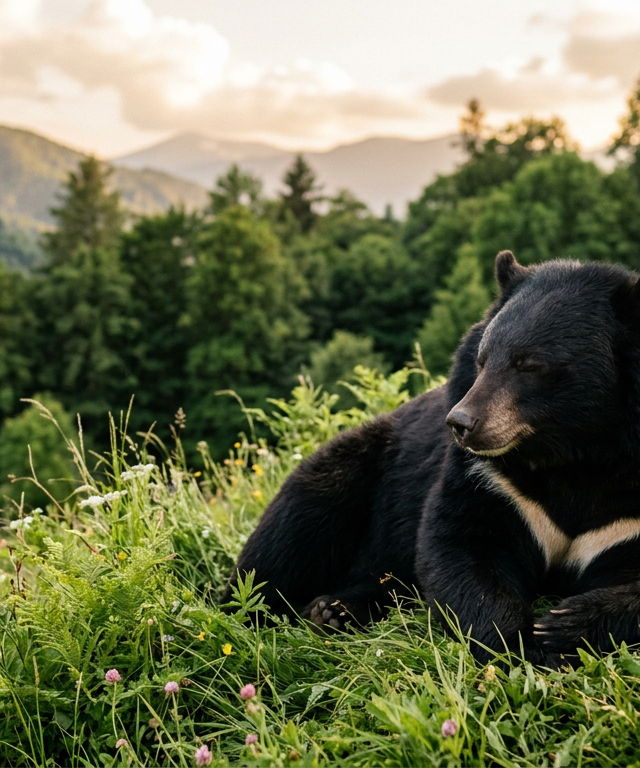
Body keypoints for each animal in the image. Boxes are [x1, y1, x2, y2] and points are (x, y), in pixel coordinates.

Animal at [226, 251, 640, 668]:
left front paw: (563, 624)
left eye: (530, 365)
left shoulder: (625, 515)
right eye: (482, 360)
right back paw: (256, 613)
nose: (461, 423)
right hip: (358, 467)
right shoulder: (492, 480)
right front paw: (522, 644)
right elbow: (462, 544)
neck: (572, 450)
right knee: (290, 534)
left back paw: (335, 610)